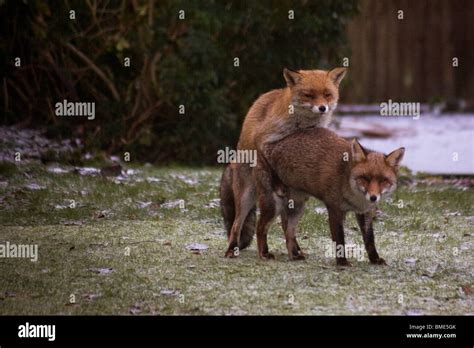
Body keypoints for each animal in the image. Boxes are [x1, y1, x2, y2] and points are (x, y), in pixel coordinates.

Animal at [220, 68, 346, 258]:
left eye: (327, 94)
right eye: (308, 95)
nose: (322, 108)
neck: (300, 125)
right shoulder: (261, 139)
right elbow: (267, 162)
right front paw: (277, 182)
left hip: (291, 202)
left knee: (287, 228)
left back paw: (296, 251)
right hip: (246, 197)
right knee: (236, 225)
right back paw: (232, 249)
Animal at [256, 126, 404, 266]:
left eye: (383, 180)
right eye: (365, 178)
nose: (373, 197)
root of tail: (266, 145)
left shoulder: (364, 212)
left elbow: (369, 239)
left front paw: (375, 259)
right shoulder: (334, 209)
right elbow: (339, 239)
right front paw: (342, 262)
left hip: (298, 207)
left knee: (287, 231)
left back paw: (295, 254)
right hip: (274, 206)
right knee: (261, 227)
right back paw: (264, 253)